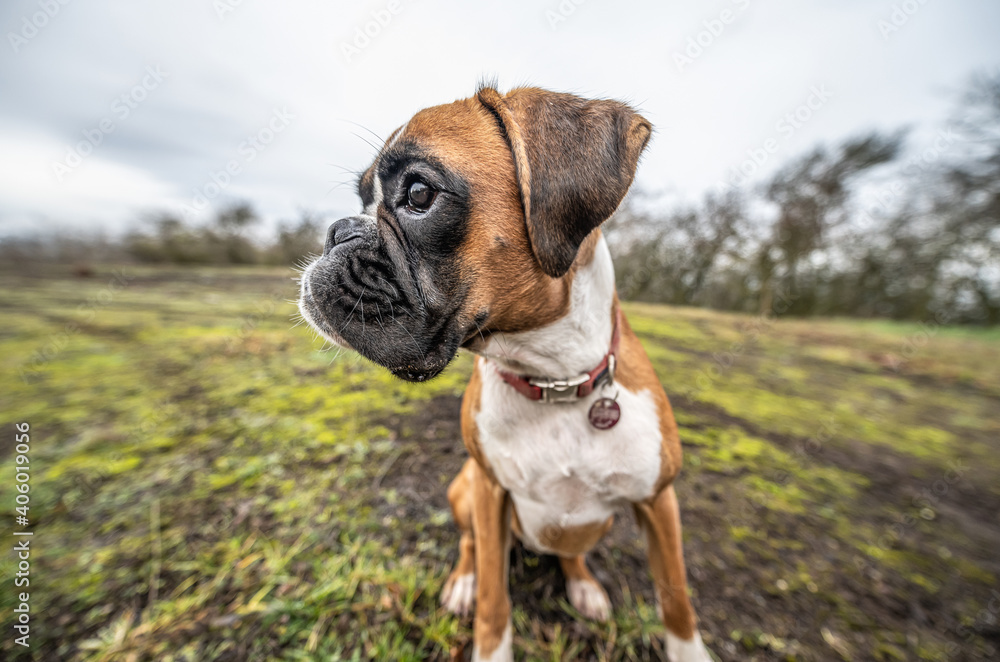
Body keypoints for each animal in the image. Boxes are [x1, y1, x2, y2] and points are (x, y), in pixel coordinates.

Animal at [296, 85, 712, 660]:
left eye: (418, 193)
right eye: (360, 200)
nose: (338, 230)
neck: (553, 380)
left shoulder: (659, 501)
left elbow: (676, 599)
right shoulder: (489, 492)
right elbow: (495, 599)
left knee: (571, 553)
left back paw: (583, 586)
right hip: (464, 488)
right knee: (472, 546)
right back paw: (464, 583)